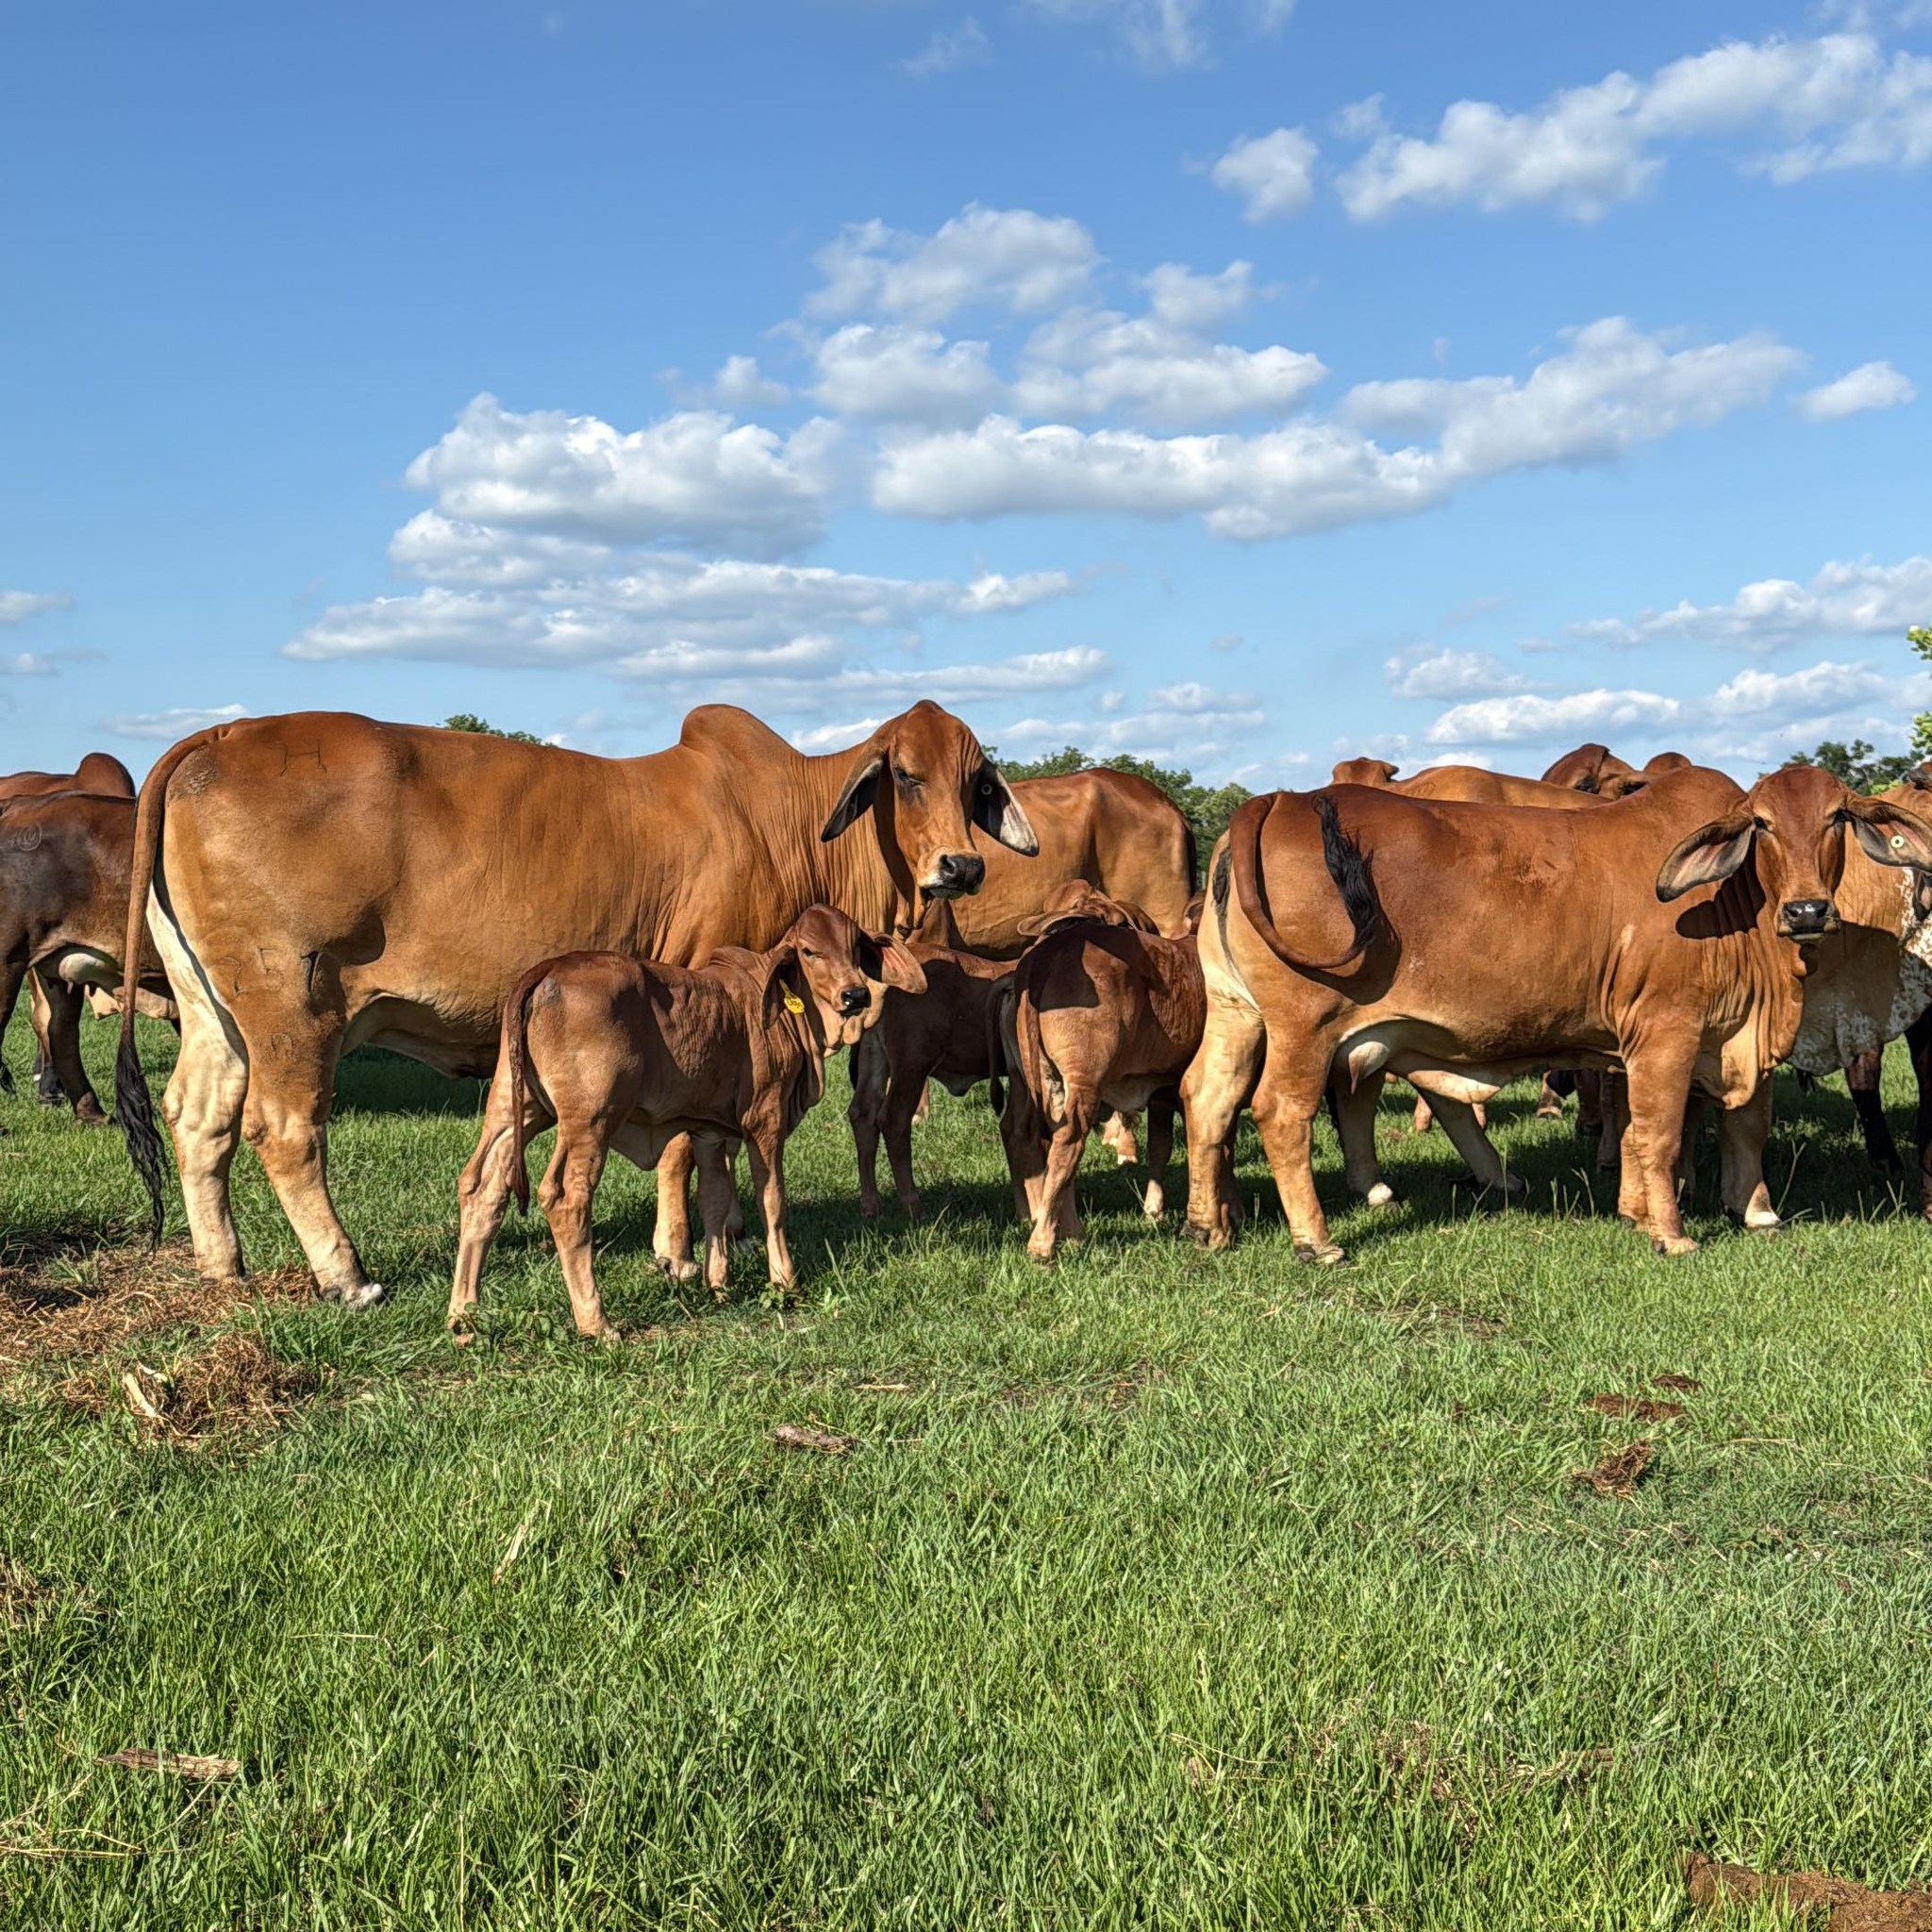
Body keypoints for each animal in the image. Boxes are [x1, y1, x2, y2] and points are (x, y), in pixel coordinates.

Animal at [448, 907, 923, 1340]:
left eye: (856, 948)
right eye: (810, 951)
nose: (855, 995)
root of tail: (547, 969)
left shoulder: (708, 1131)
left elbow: (713, 1199)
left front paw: (719, 1285)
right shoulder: (765, 1120)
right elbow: (772, 1200)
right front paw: (784, 1280)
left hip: (514, 1107)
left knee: (482, 1187)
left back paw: (464, 1315)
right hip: (590, 1120)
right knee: (566, 1198)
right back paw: (596, 1323)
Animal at [1002, 892, 1205, 1263]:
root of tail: (1049, 952)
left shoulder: (1160, 1091)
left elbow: (1160, 1147)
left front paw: (1153, 1210)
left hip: (1037, 1079)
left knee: (1041, 1139)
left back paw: (1068, 1232)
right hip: (1084, 1080)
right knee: (1067, 1144)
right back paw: (1043, 1243)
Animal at [1181, 764, 1932, 1262]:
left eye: (1837, 817)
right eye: (1762, 825)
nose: (1806, 911)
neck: (1736, 904)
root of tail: (1278, 801)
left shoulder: (1707, 1041)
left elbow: (1730, 1122)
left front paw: (1750, 1211)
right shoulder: (1667, 1032)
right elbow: (1659, 1135)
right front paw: (1671, 1234)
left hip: (1236, 1012)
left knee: (1208, 1098)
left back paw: (1206, 1225)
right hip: (1304, 1027)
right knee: (1280, 1113)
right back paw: (1317, 1241)